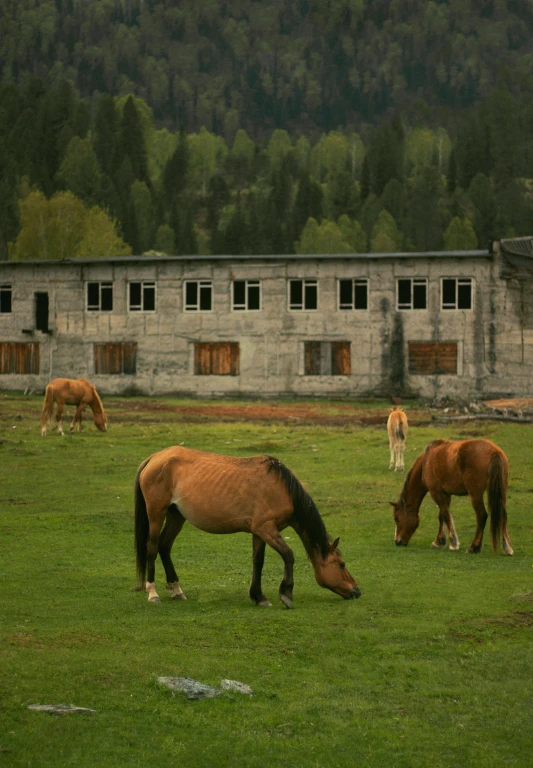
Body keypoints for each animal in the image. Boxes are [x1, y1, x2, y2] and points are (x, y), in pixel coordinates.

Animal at [132, 448, 362, 608]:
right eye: (341, 564)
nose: (357, 591)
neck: (281, 488)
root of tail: (154, 458)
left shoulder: (259, 533)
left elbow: (257, 562)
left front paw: (259, 597)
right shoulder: (266, 529)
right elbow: (288, 555)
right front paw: (286, 594)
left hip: (176, 516)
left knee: (165, 546)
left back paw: (176, 590)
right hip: (156, 514)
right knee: (152, 548)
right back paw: (153, 593)